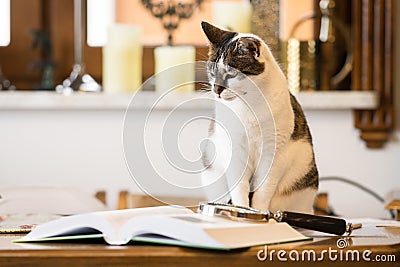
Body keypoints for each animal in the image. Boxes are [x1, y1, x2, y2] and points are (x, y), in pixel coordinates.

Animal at [200, 21, 318, 215]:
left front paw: (260, 213)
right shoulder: (236, 151)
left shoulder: (273, 154)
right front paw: (241, 209)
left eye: (231, 74)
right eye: (212, 72)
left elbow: (263, 191)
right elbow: (239, 188)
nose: (216, 90)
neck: (249, 105)